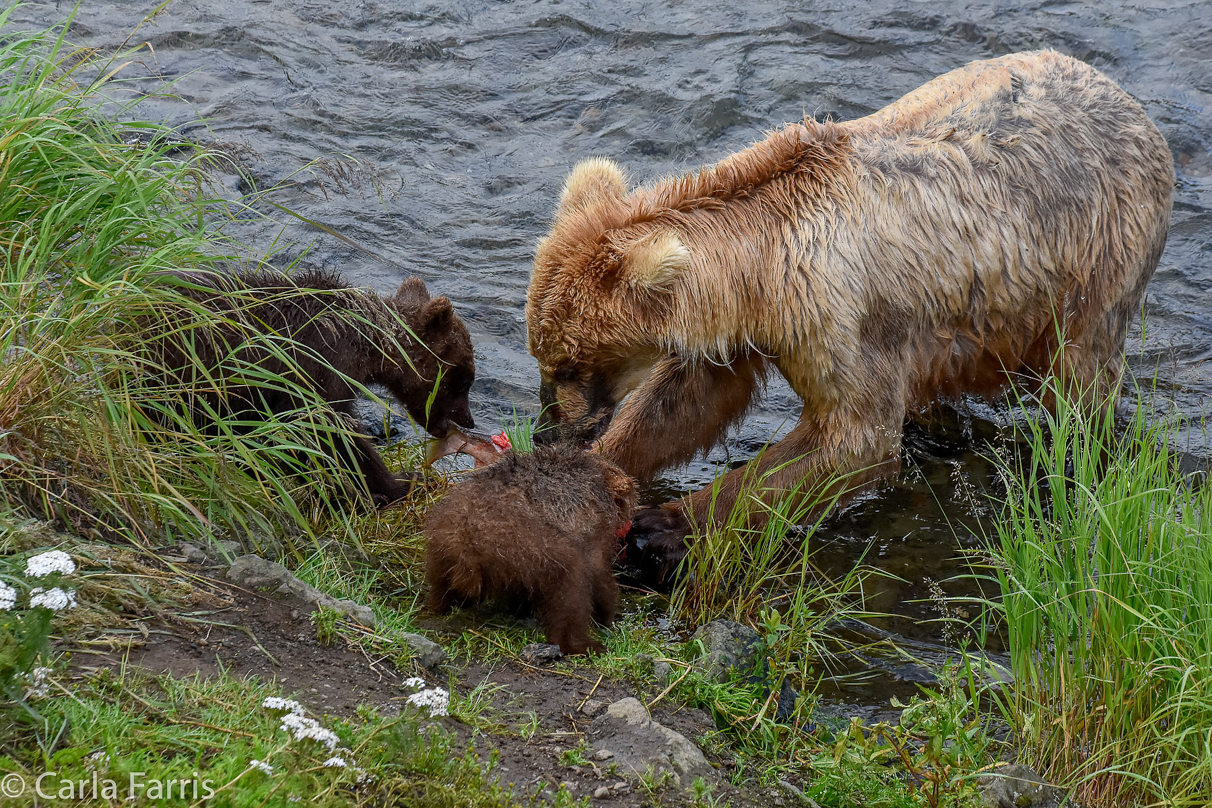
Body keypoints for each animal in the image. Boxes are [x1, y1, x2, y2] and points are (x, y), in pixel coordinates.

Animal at [528, 49, 1173, 574]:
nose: (547, 426)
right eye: (544, 355)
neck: (762, 270)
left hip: (1096, 267)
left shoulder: (840, 313)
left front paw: (665, 528)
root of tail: (1130, 101)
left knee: (1082, 388)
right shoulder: (738, 331)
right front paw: (582, 477)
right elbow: (685, 401)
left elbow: (853, 439)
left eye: (572, 363)